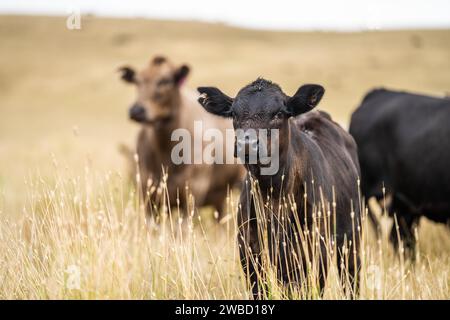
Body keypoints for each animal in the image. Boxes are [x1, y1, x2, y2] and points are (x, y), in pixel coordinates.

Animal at [199, 79, 360, 298]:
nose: (248, 143)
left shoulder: (316, 249)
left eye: (279, 113)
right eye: (234, 113)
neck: (273, 198)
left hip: (352, 240)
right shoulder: (249, 251)